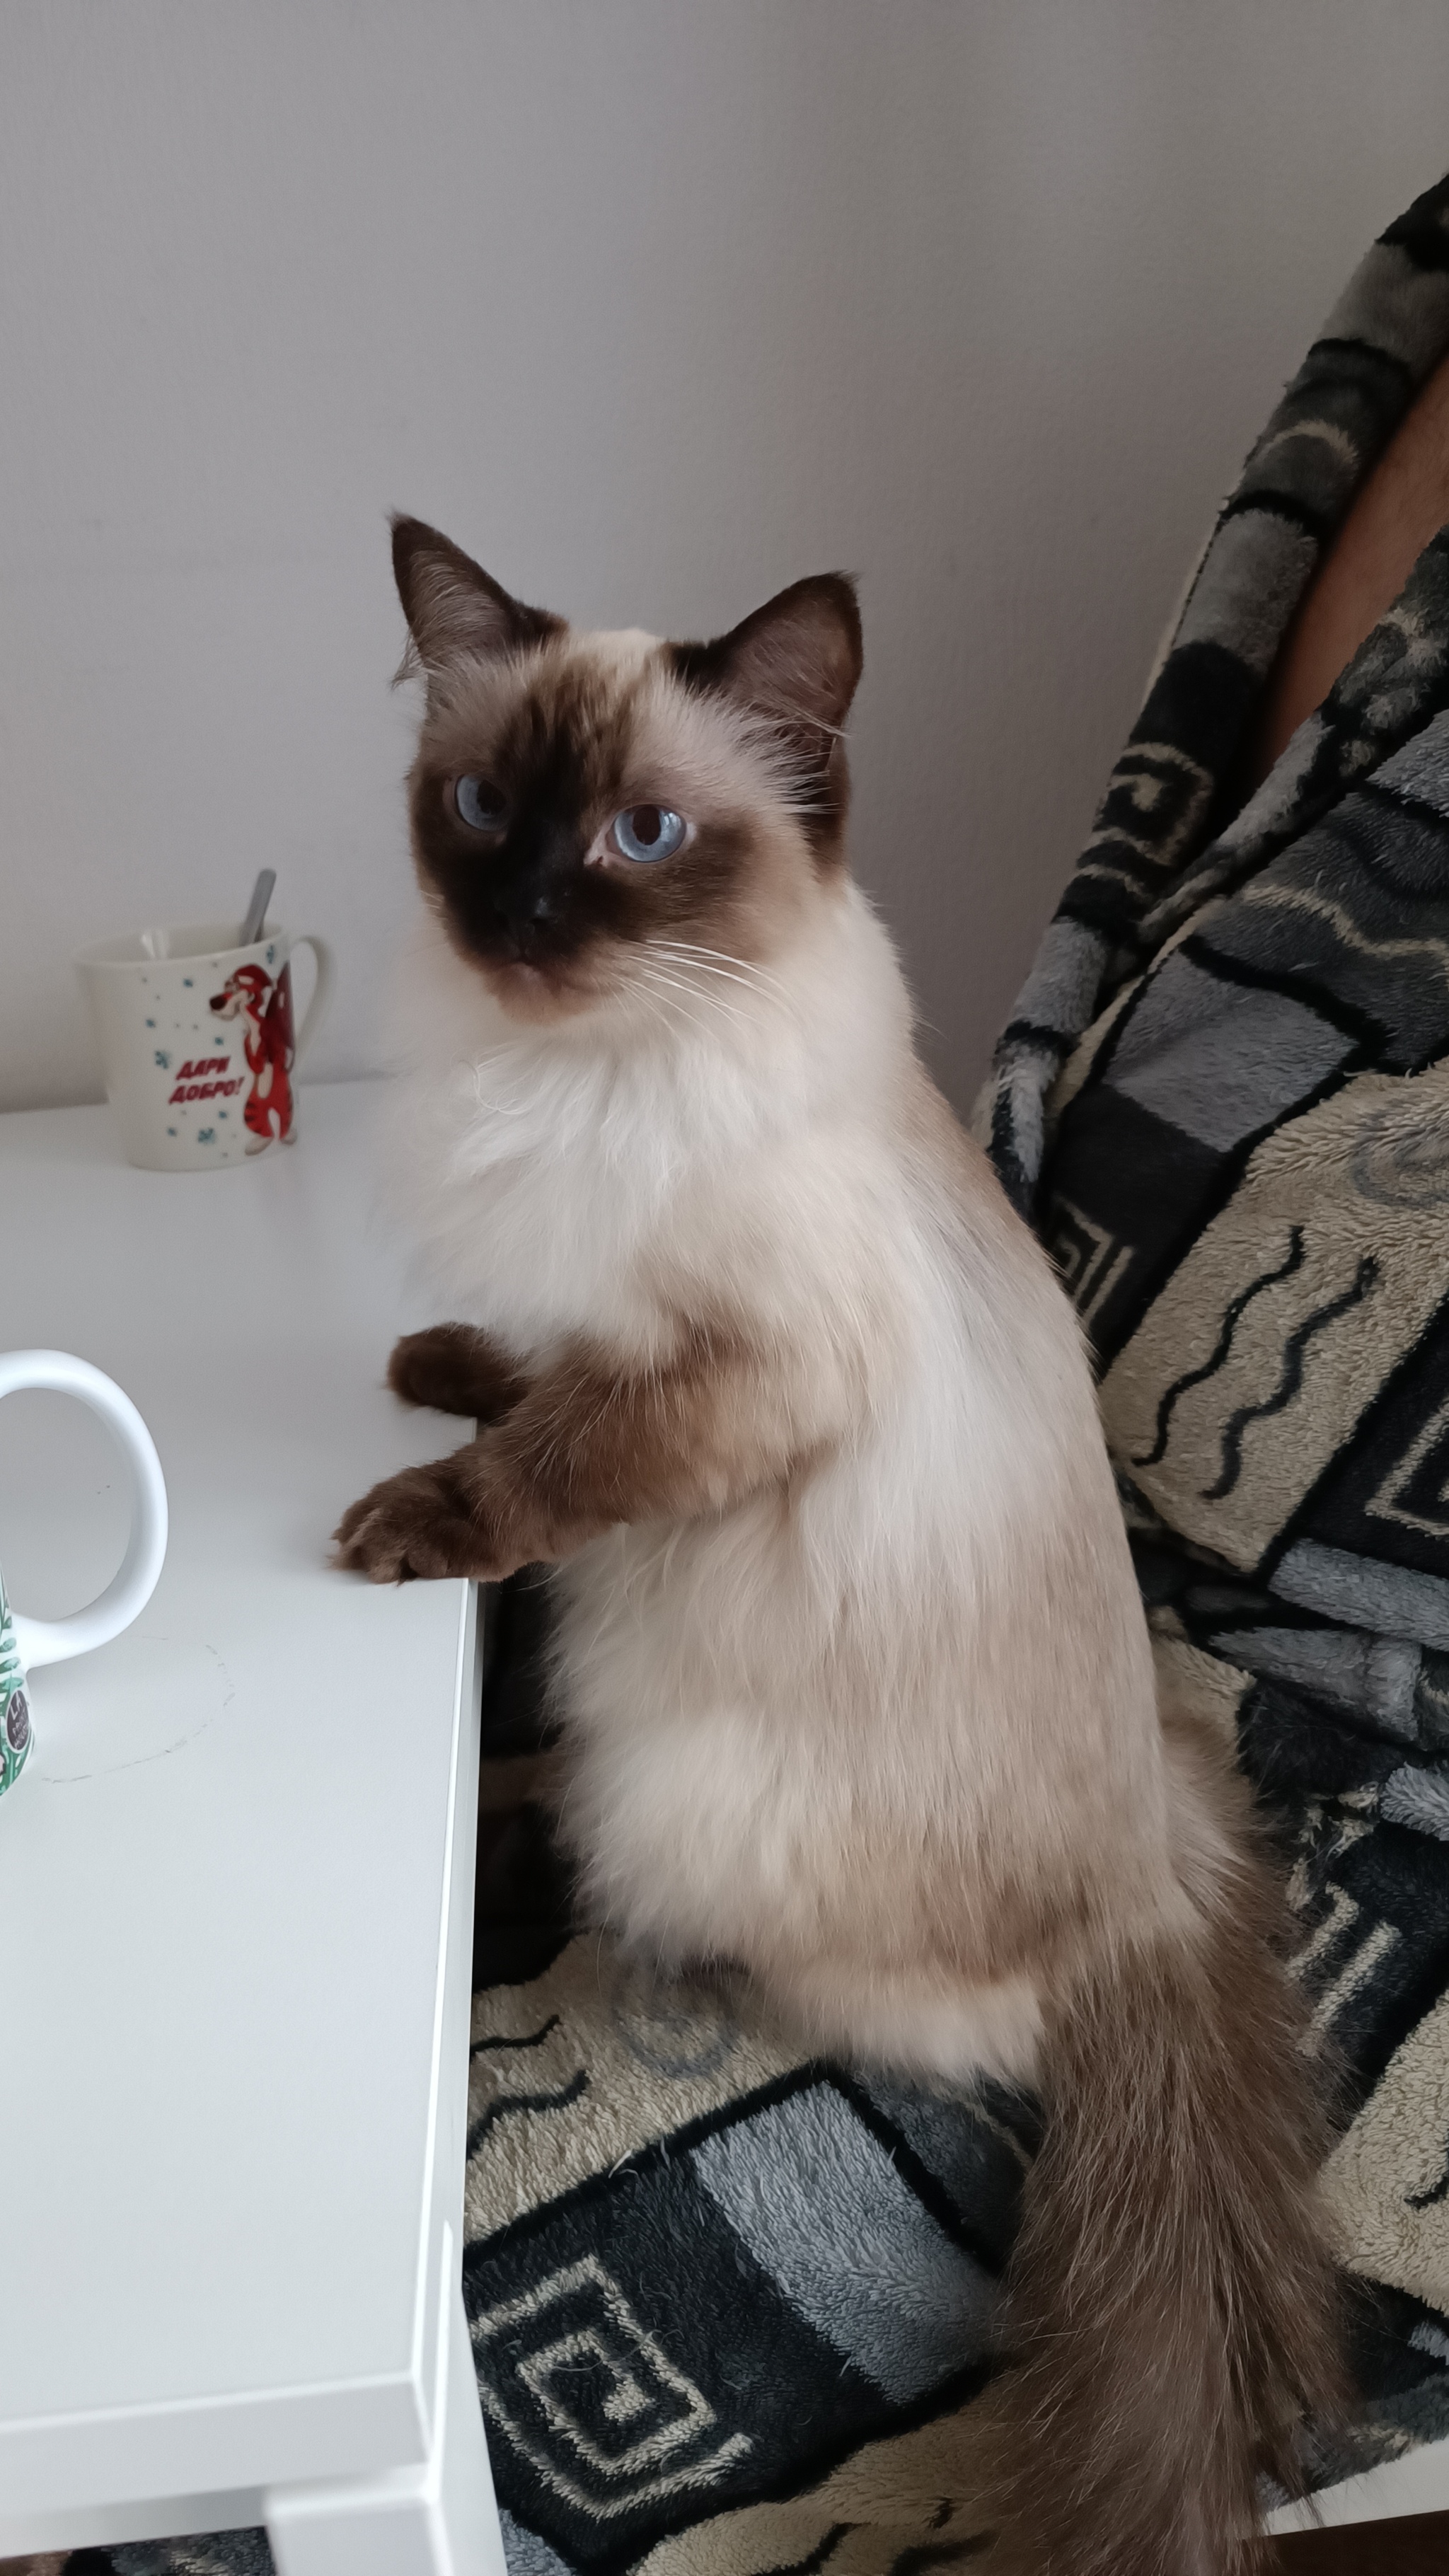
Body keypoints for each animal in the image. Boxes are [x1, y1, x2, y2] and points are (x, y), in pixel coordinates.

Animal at [336, 516, 1343, 2574]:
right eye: (478, 808)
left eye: (640, 836)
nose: (524, 922)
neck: (579, 1070)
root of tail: (1153, 1860)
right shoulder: (607, 1313)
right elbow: (528, 1375)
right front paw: (436, 1368)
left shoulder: (738, 1381)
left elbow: (551, 1467)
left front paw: (416, 1512)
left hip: (686, 1779)